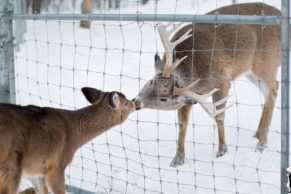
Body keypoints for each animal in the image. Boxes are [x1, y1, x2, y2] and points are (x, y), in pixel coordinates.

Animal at [0, 87, 136, 194]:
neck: (75, 135)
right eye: (125, 102)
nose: (134, 103)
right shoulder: (57, 166)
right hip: (10, 169)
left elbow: (42, 190)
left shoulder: (36, 169)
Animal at [132, 2, 280, 167]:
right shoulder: (188, 96)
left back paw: (261, 144)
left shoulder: (222, 80)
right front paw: (178, 158)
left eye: (164, 99)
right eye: (151, 81)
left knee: (272, 92)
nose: (136, 102)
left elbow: (219, 116)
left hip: (267, 61)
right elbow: (182, 123)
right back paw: (257, 134)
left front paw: (222, 150)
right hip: (250, 71)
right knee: (274, 87)